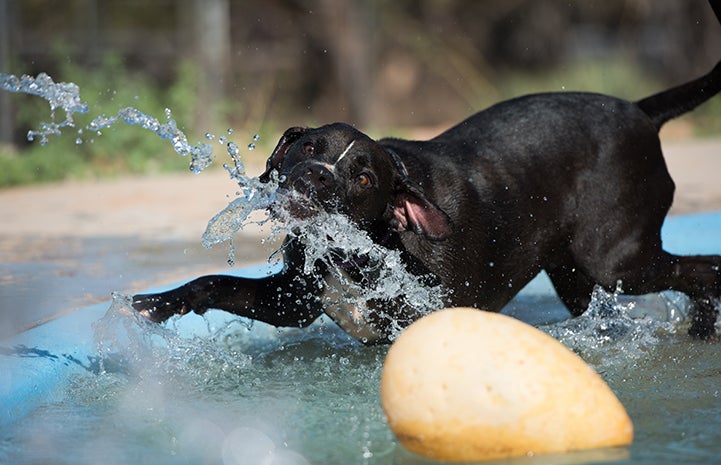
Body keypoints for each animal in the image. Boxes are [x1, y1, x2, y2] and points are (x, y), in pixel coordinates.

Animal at [135, 10, 720, 344]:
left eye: (364, 180)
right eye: (308, 147)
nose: (316, 179)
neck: (367, 246)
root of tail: (640, 111)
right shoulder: (291, 300)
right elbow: (212, 283)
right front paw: (153, 305)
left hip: (618, 262)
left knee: (705, 269)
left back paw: (703, 327)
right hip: (578, 276)